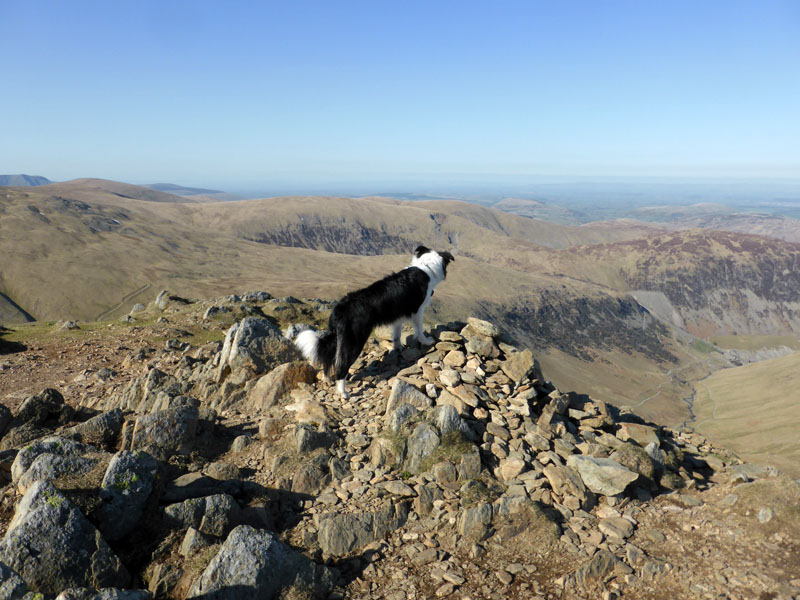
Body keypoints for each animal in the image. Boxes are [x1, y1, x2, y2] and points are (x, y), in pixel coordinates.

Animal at [294, 245, 456, 398]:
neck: (425, 267)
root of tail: (339, 309)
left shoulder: (398, 316)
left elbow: (397, 334)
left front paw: (398, 348)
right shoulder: (417, 311)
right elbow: (420, 330)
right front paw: (427, 341)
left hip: (338, 339)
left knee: (328, 358)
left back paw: (327, 378)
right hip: (354, 342)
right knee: (342, 367)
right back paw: (343, 392)